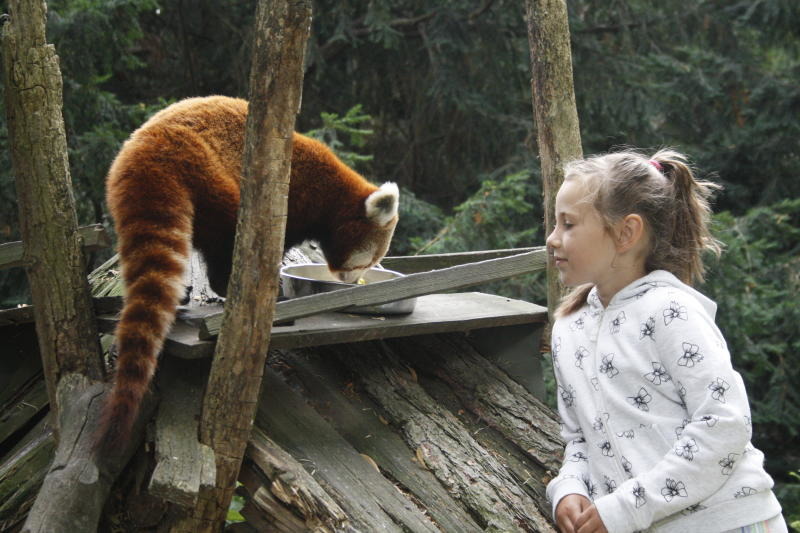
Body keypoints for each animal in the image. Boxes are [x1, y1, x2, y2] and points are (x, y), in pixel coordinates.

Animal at [98, 95, 398, 448]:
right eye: (367, 261)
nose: (351, 282)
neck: (332, 191)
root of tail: (148, 149)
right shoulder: (295, 194)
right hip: (212, 175)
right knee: (226, 237)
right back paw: (232, 286)